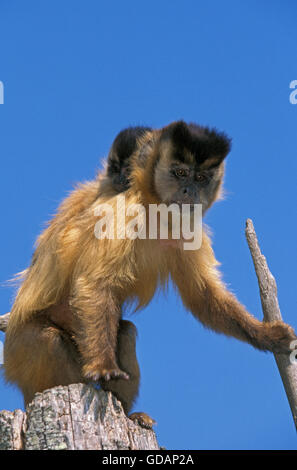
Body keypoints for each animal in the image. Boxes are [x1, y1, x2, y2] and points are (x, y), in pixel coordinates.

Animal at [4, 122, 294, 430]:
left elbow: (203, 297)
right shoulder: (121, 210)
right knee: (50, 340)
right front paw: (104, 366)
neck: (154, 207)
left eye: (201, 178)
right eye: (180, 173)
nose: (189, 190)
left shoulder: (187, 226)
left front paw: (267, 336)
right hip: (19, 352)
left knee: (126, 332)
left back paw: (128, 412)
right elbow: (96, 284)